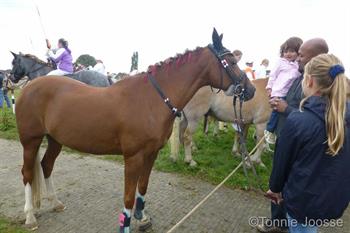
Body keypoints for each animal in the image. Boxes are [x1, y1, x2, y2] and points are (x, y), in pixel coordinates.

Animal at [15, 28, 256, 231]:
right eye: (231, 61)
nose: (251, 90)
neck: (151, 99)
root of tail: (28, 87)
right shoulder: (133, 157)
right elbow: (129, 197)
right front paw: (126, 225)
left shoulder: (151, 153)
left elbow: (143, 186)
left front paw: (142, 217)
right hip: (30, 141)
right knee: (27, 173)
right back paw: (30, 216)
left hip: (55, 139)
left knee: (46, 165)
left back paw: (55, 202)